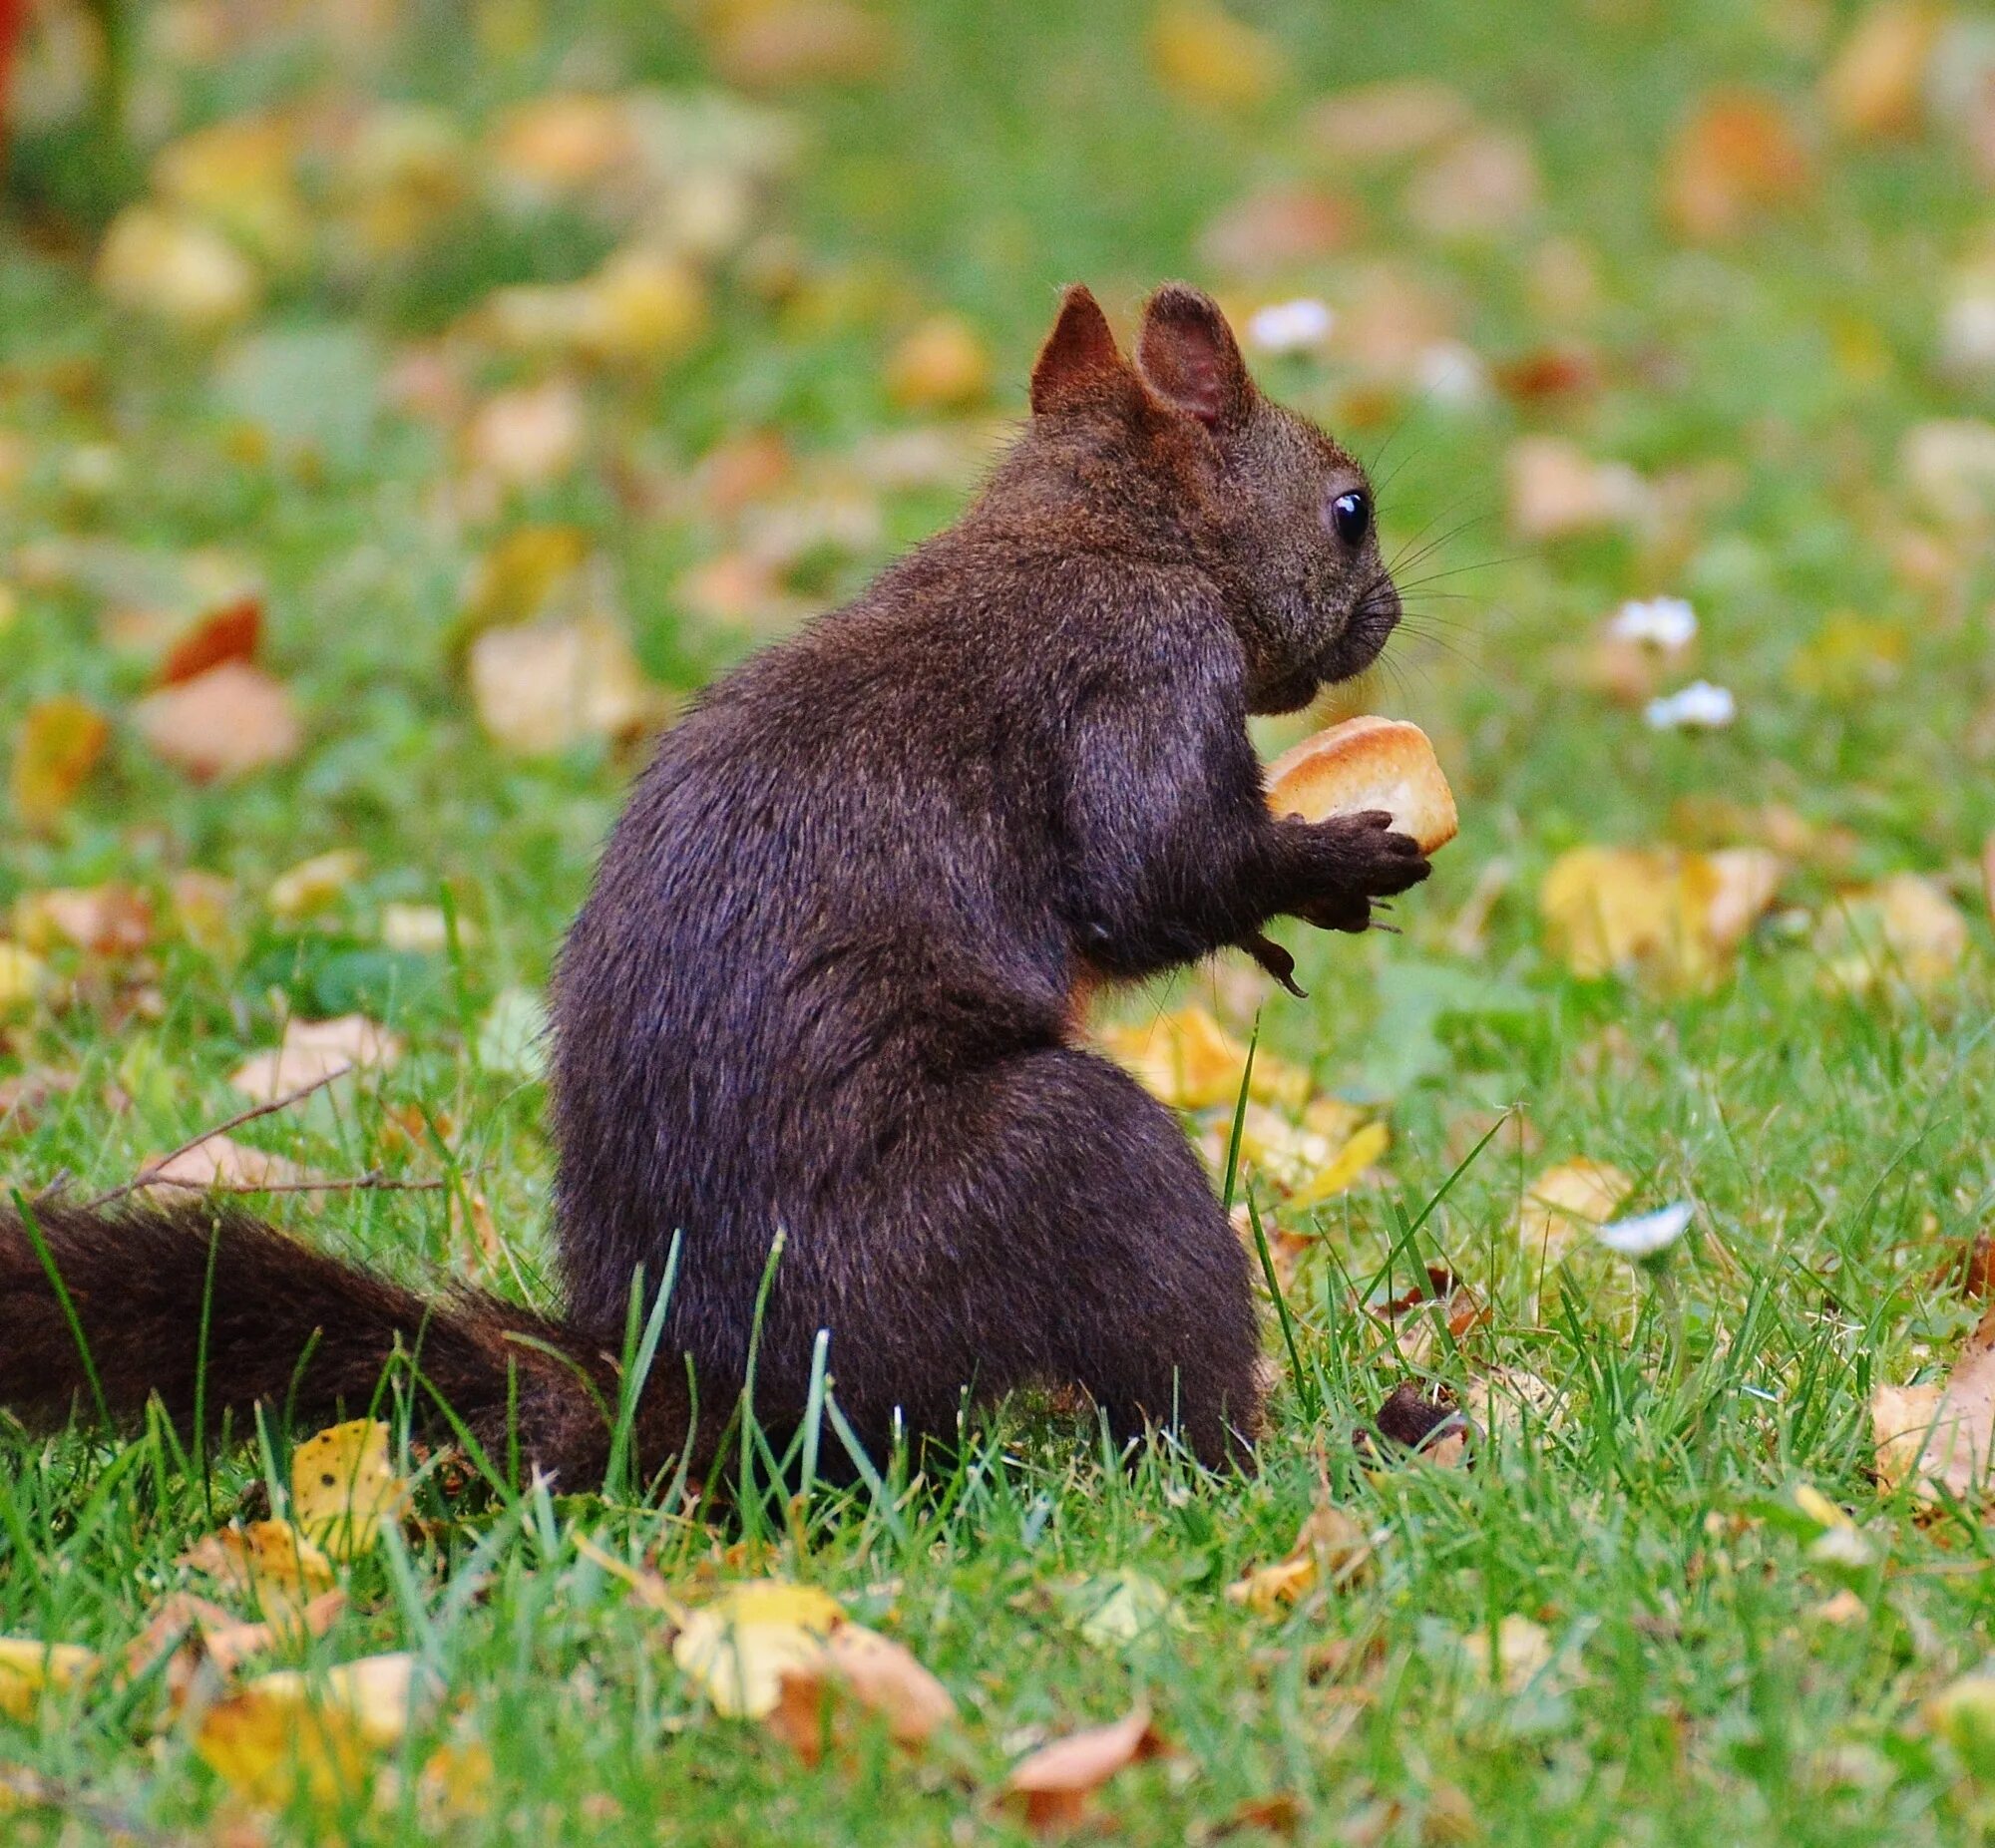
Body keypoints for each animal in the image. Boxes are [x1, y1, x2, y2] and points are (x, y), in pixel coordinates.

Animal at [3, 285, 1436, 1492]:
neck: (1099, 530)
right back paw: (1269, 1457)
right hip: (1052, 1176)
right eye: (1348, 508)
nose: (1388, 612)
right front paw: (1327, 867)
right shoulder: (1139, 673)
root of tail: (741, 1390)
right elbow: (1152, 871)